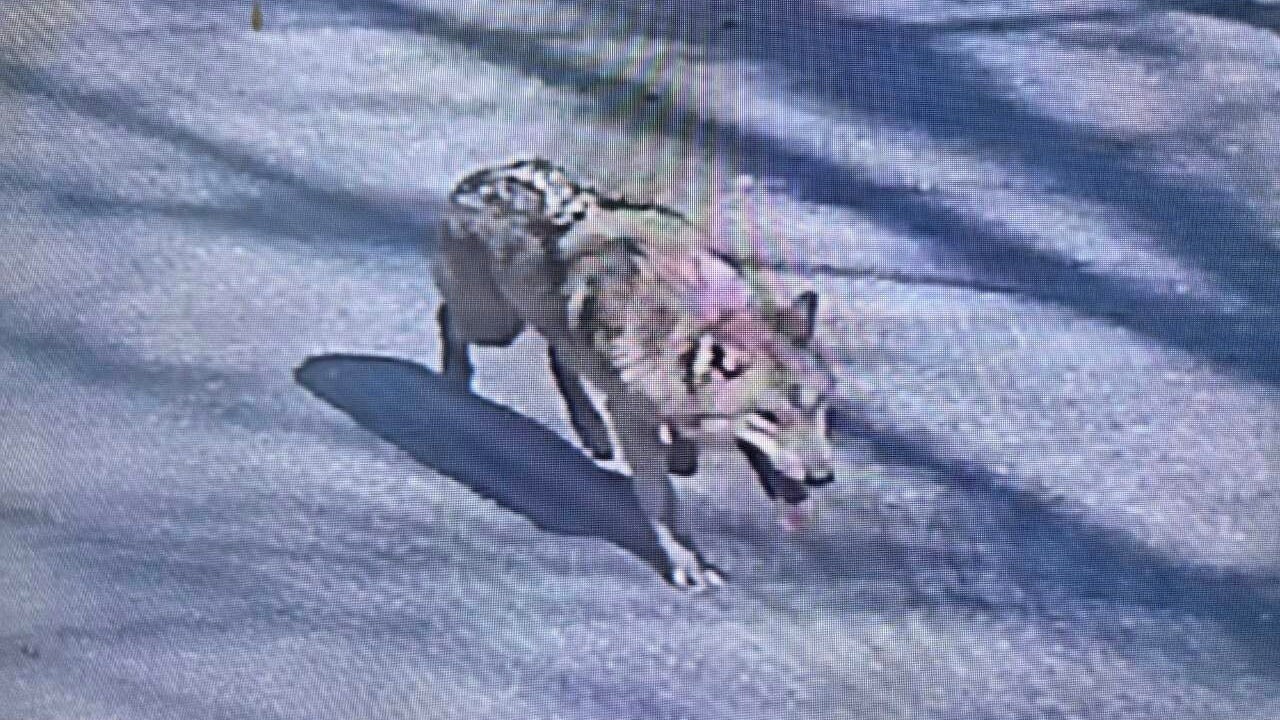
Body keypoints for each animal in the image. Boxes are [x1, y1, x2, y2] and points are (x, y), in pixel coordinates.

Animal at [432, 159, 836, 590]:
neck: (695, 322)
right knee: (449, 318)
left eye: (817, 408)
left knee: (560, 356)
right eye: (768, 417)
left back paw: (592, 431)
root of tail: (482, 176)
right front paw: (691, 565)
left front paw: (684, 454)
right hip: (495, 326)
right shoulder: (632, 418)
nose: (823, 478)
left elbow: (687, 451)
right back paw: (455, 383)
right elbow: (663, 504)